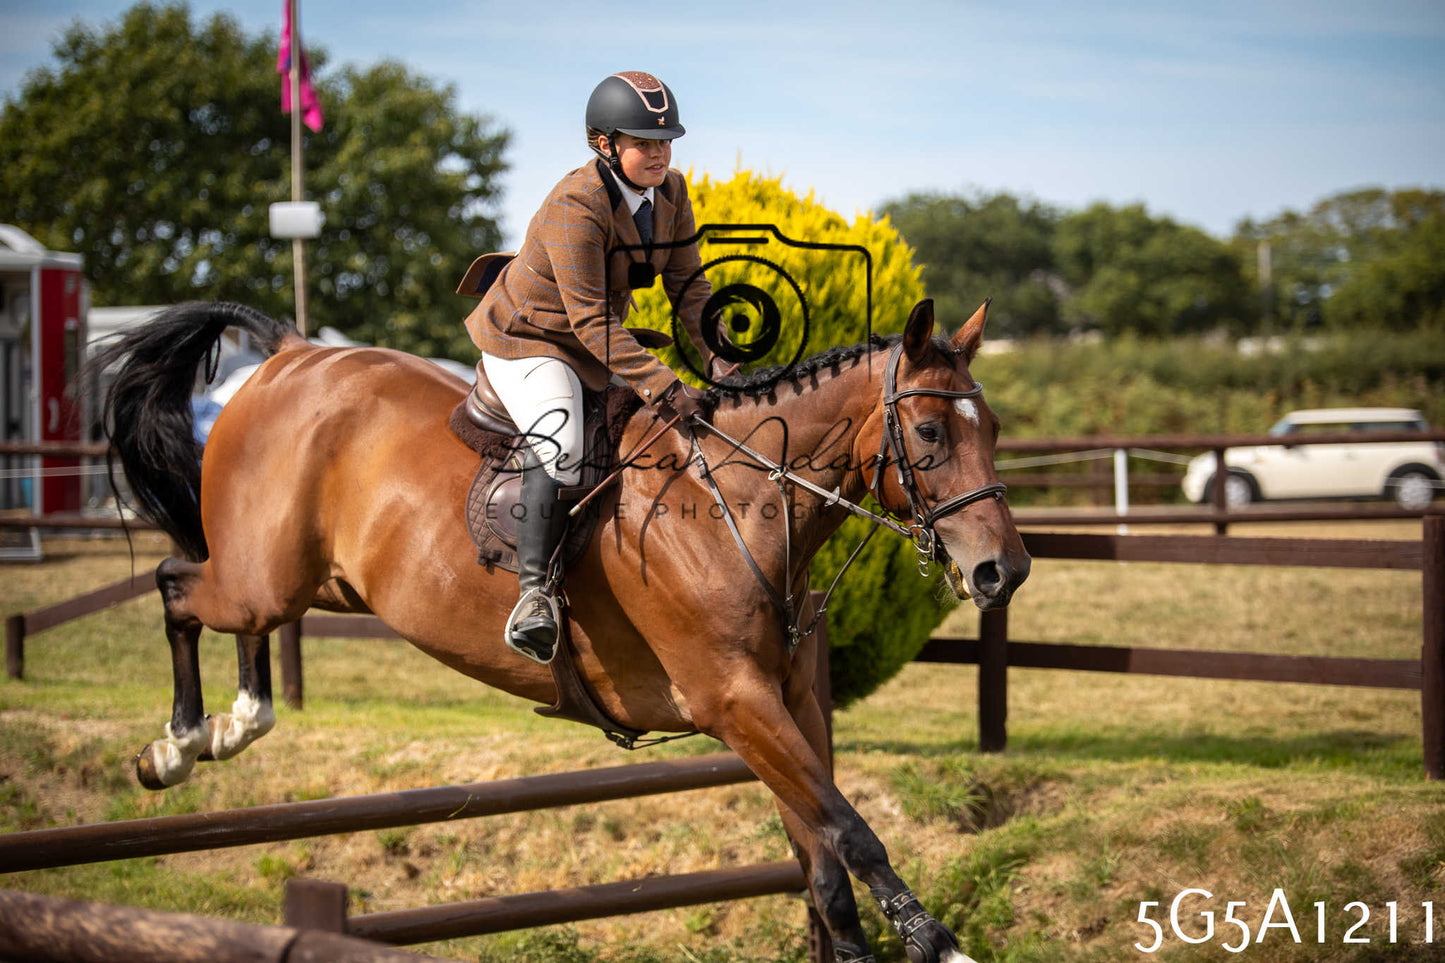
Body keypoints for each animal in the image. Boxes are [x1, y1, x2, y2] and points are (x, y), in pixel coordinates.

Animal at [94, 297, 1029, 963]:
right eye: (929, 431)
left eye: (991, 429)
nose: (1003, 572)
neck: (739, 505)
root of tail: (291, 352)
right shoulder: (735, 702)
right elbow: (850, 832)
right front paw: (937, 941)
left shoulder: (788, 702)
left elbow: (825, 859)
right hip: (259, 578)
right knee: (176, 585)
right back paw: (180, 742)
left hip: (311, 582)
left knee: (226, 607)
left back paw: (234, 720)